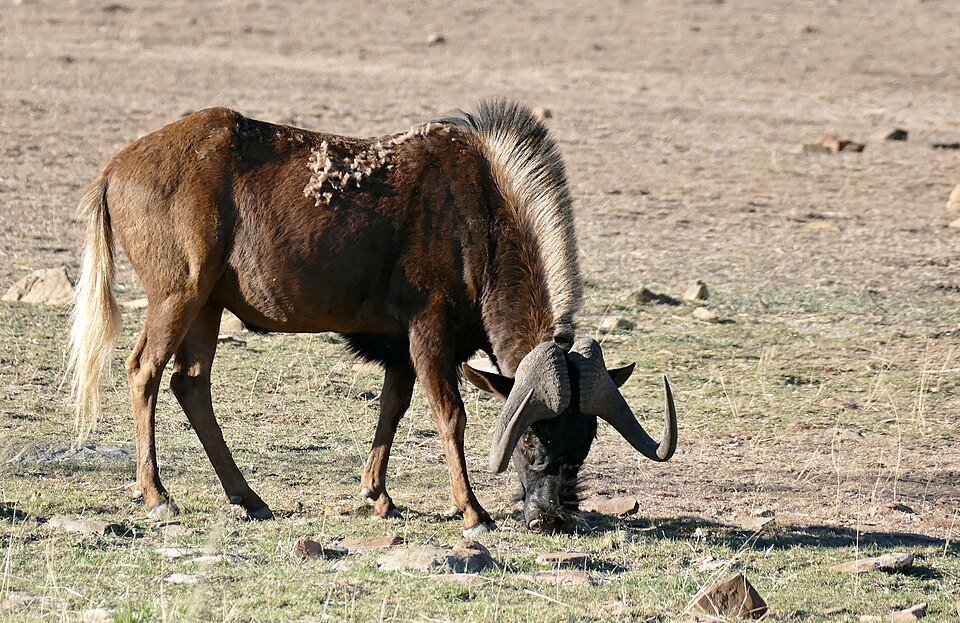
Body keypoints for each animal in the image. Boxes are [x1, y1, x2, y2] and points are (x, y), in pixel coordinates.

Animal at [68, 100, 676, 535]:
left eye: (584, 441)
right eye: (529, 438)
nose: (550, 517)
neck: (480, 216)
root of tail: (116, 167)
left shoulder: (401, 349)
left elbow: (393, 410)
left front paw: (377, 496)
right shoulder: (430, 335)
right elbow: (450, 416)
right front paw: (473, 511)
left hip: (208, 308)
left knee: (191, 384)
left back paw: (250, 498)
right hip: (180, 296)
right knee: (144, 372)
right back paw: (158, 495)